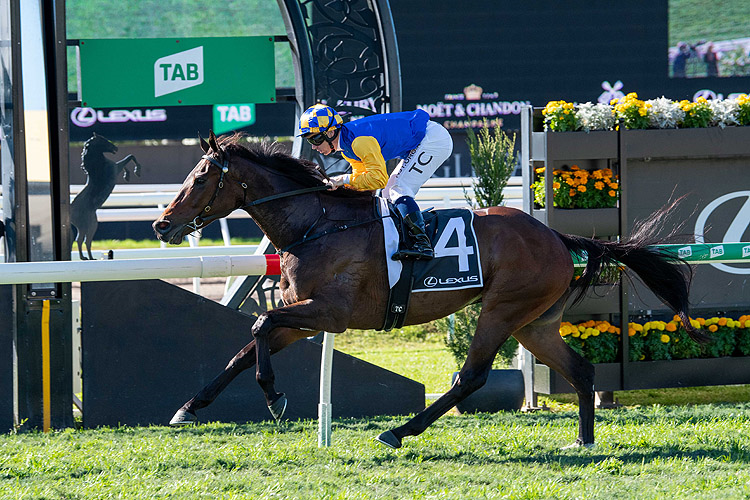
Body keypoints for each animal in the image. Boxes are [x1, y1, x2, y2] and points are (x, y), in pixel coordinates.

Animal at [154, 131, 712, 448]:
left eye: (200, 179)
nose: (161, 225)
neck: (316, 223)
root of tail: (557, 236)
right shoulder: (304, 314)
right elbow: (245, 349)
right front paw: (188, 408)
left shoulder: (329, 314)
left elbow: (259, 324)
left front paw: (274, 397)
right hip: (535, 323)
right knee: (581, 370)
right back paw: (584, 439)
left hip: (502, 310)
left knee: (472, 377)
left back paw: (399, 431)